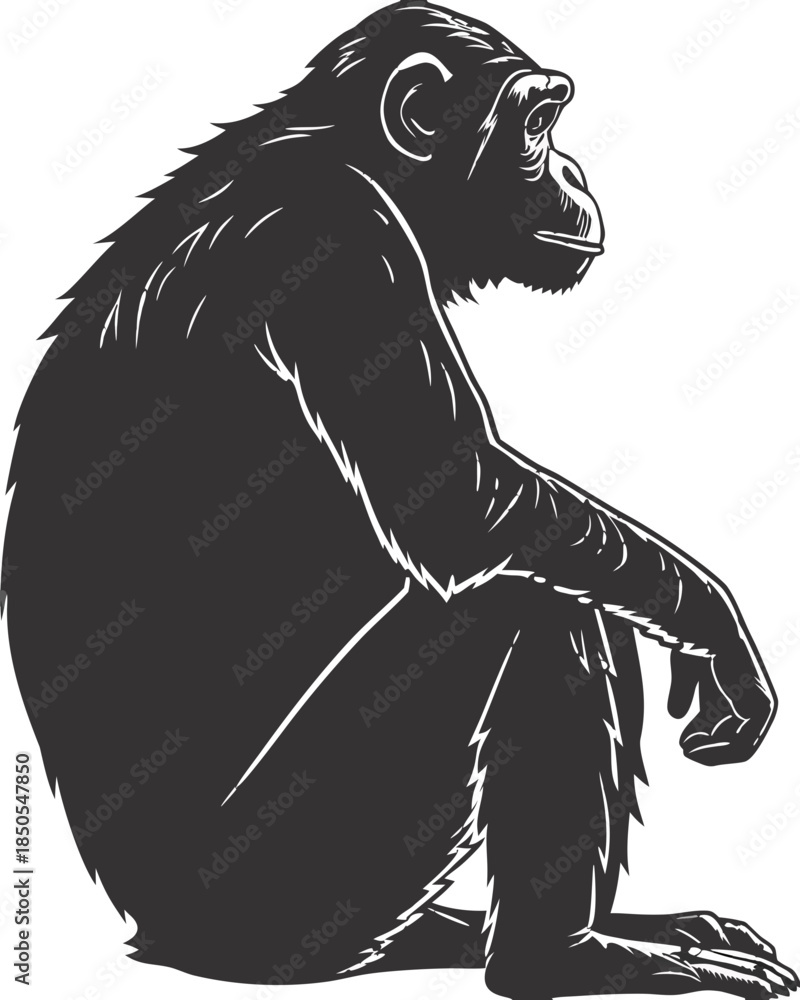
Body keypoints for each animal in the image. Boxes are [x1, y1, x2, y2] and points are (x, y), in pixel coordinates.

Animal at [3, 3, 796, 998]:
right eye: (539, 125)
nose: (575, 170)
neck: (350, 153)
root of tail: (150, 929)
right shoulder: (335, 243)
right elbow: (461, 503)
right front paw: (714, 627)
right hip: (283, 871)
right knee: (526, 607)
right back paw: (563, 954)